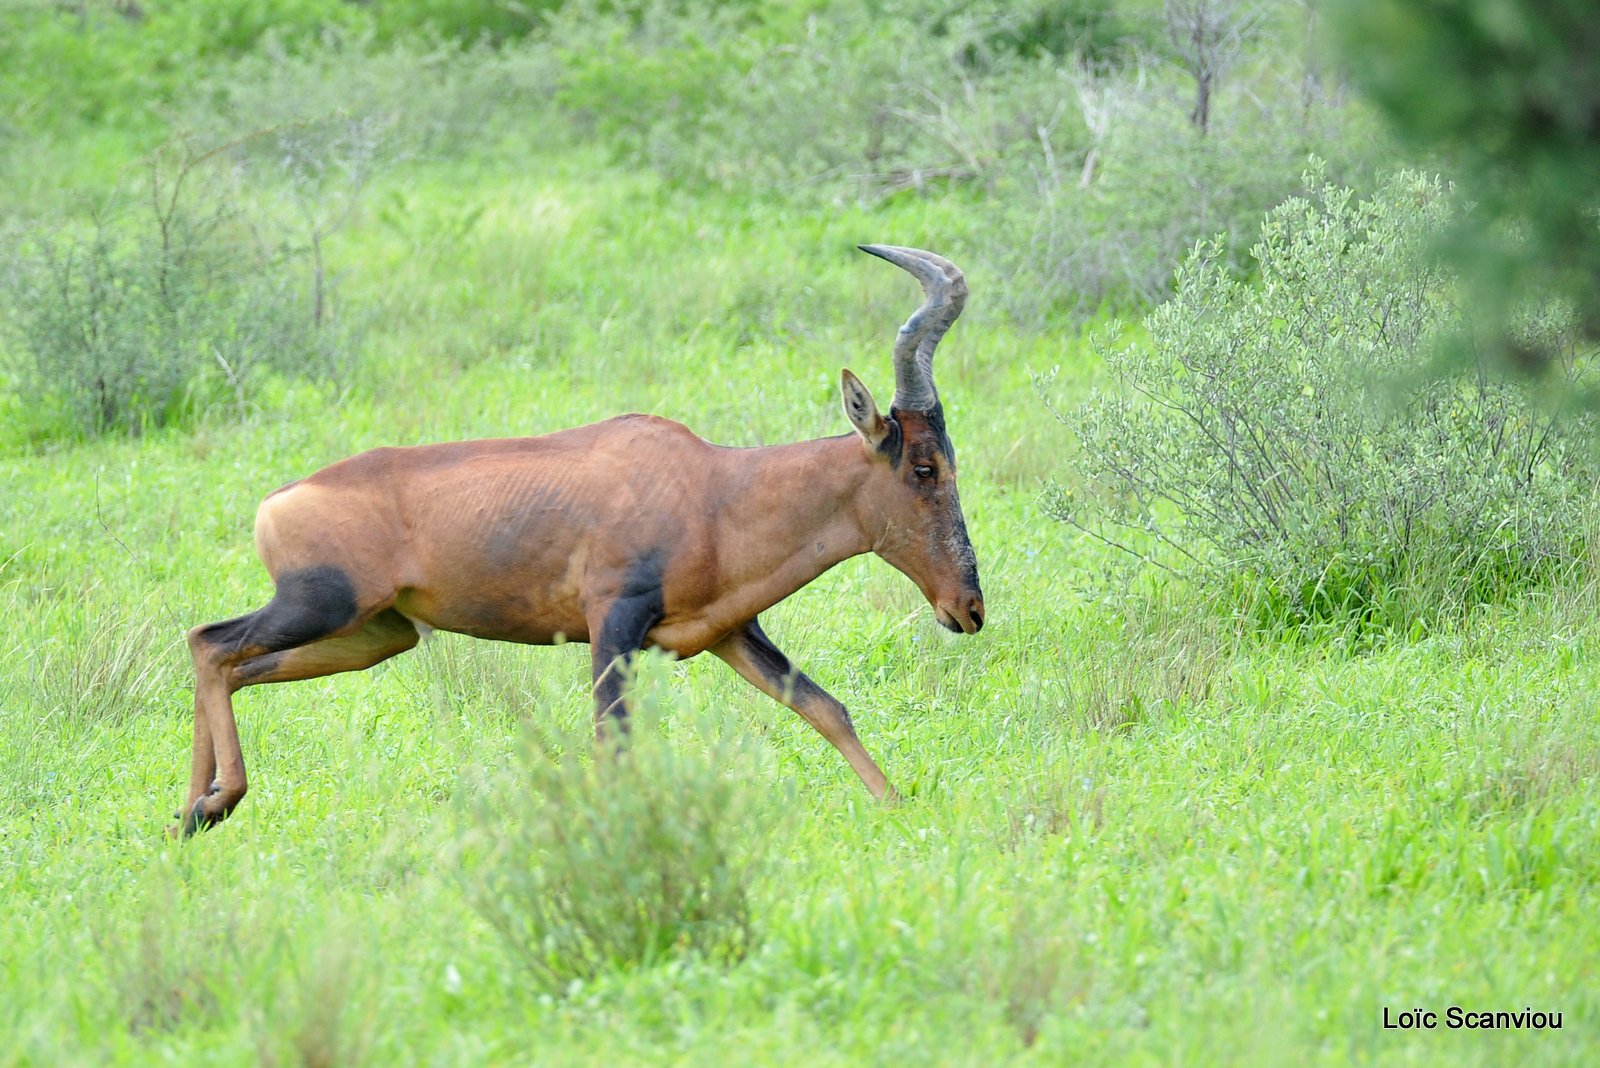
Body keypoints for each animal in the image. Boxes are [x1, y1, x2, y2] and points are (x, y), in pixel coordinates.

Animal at [175, 241, 979, 831]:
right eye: (924, 466)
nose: (968, 609)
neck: (714, 487)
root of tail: (276, 500)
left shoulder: (728, 632)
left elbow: (822, 706)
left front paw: (898, 809)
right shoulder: (612, 623)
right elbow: (611, 747)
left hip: (375, 636)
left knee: (232, 664)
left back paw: (189, 814)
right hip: (322, 605)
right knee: (210, 643)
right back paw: (215, 804)